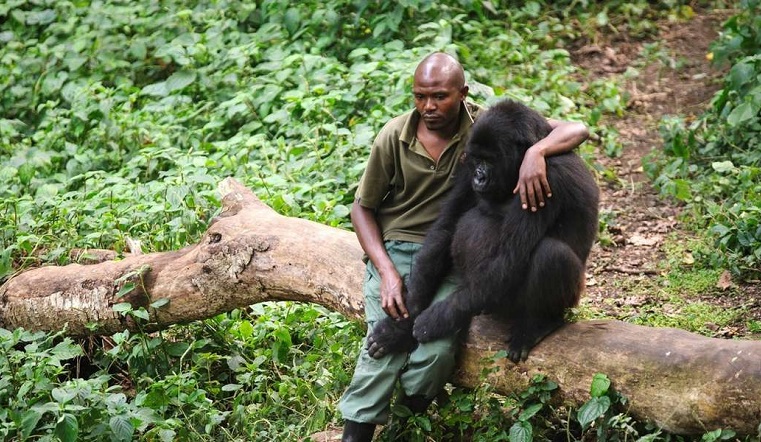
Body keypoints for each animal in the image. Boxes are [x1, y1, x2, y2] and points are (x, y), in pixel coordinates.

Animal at [366, 99, 600, 362]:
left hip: (569, 299)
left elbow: (509, 255)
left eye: (490, 160)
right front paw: (400, 326)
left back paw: (538, 324)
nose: (479, 177)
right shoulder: (466, 163)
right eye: (477, 160)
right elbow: (446, 227)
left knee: (551, 253)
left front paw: (435, 320)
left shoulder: (545, 174)